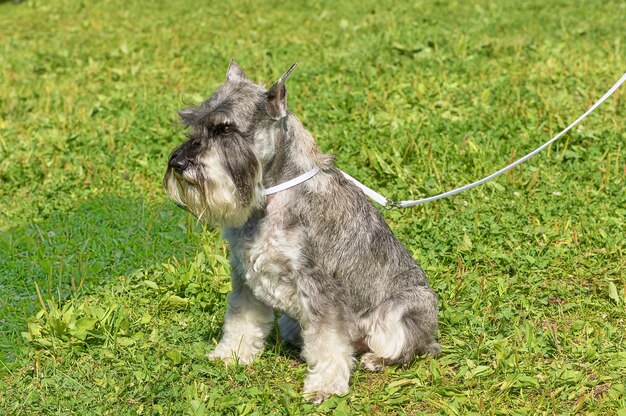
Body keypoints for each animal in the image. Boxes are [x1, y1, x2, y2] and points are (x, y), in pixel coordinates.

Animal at [163, 60, 442, 402]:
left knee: (407, 347)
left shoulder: (319, 285)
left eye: (226, 129)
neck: (270, 197)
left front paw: (325, 386)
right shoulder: (245, 275)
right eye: (194, 123)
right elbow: (241, 319)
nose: (178, 162)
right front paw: (230, 354)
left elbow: (330, 339)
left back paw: (376, 359)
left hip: (402, 312)